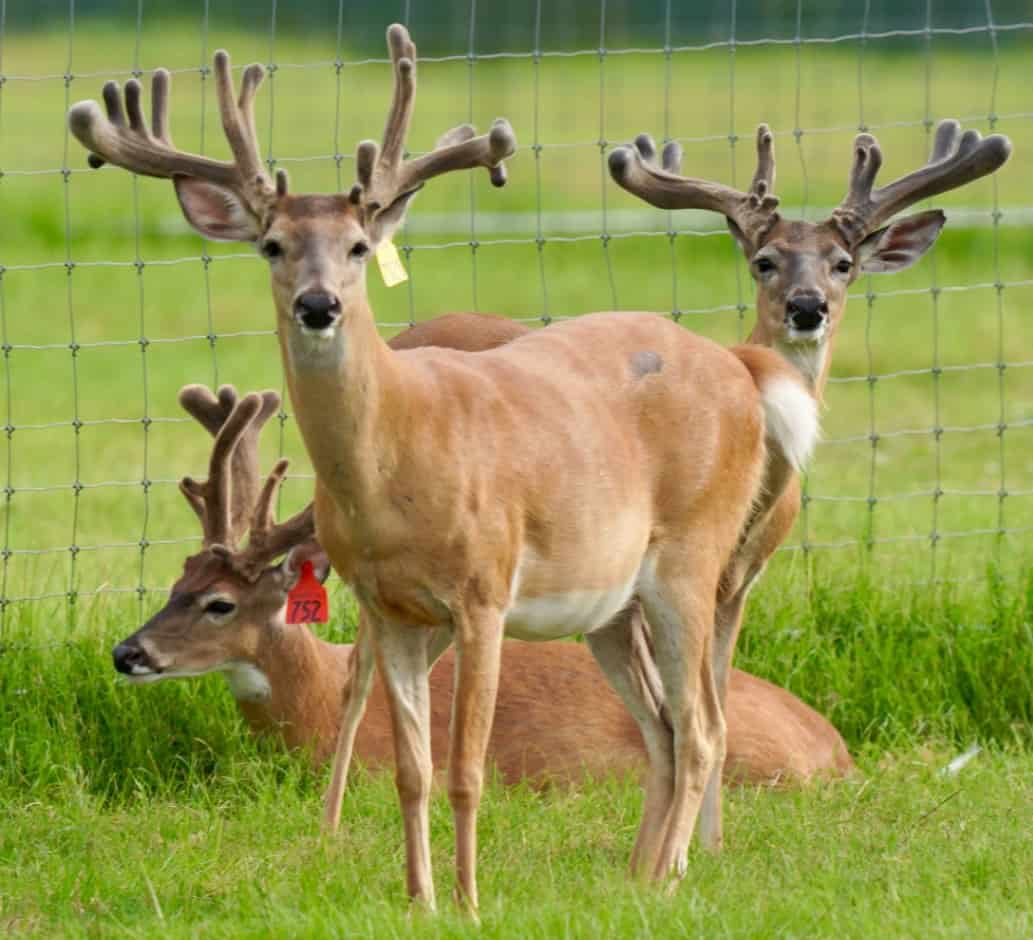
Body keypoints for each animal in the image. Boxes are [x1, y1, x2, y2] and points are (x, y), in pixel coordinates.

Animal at [608, 118, 1012, 851]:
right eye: (764, 260)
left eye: (842, 263)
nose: (806, 306)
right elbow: (679, 713)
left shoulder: (737, 582)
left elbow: (716, 707)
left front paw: (711, 845)